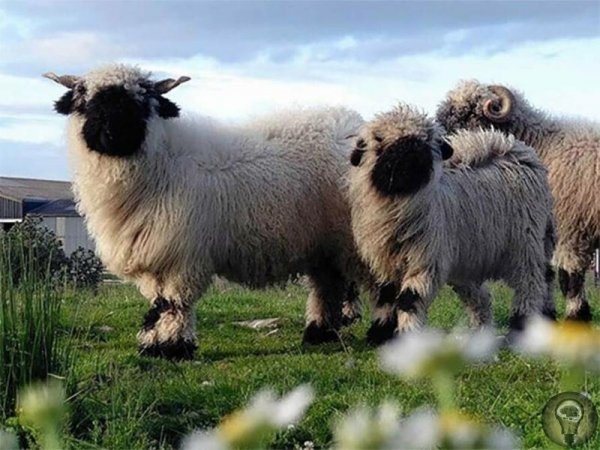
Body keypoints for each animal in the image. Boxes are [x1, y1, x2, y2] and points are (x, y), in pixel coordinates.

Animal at [43, 63, 366, 360]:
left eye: (140, 102)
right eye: (84, 101)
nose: (111, 133)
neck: (163, 166)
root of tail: (355, 125)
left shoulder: (182, 256)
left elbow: (174, 303)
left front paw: (174, 348)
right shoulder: (155, 254)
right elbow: (158, 303)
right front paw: (152, 345)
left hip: (350, 237)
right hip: (324, 242)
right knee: (328, 285)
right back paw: (320, 334)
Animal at [350, 103, 556, 342]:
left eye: (426, 138)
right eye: (379, 139)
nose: (411, 150)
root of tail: (511, 147)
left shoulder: (426, 259)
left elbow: (409, 299)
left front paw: (409, 336)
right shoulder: (385, 262)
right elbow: (386, 297)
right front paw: (381, 335)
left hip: (526, 242)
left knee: (531, 283)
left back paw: (521, 328)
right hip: (467, 259)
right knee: (482, 296)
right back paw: (483, 332)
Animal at [436, 80, 600, 320]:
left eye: (469, 113)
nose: (444, 146)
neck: (541, 144)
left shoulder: (571, 230)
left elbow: (569, 277)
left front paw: (576, 316)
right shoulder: (546, 231)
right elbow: (547, 274)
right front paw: (548, 313)